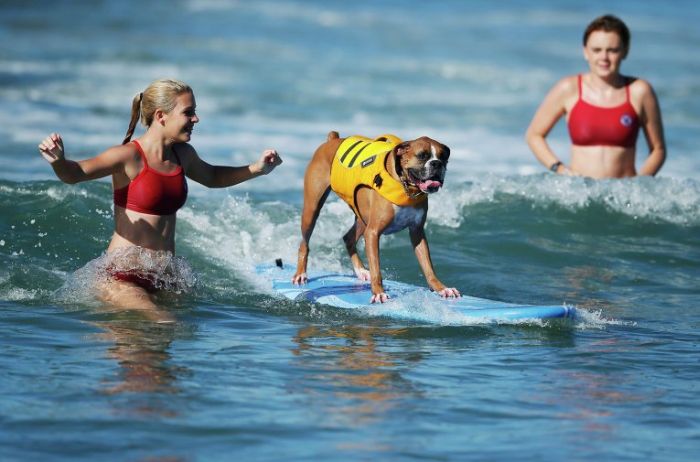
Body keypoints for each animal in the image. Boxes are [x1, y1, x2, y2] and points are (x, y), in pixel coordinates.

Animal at [292, 131, 460, 304]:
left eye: (443, 157)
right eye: (422, 155)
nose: (437, 164)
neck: (405, 187)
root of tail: (333, 140)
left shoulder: (417, 233)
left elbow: (428, 267)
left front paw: (441, 288)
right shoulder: (373, 233)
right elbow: (376, 268)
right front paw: (378, 292)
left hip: (362, 218)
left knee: (348, 238)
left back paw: (360, 271)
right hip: (312, 210)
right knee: (304, 243)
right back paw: (301, 273)